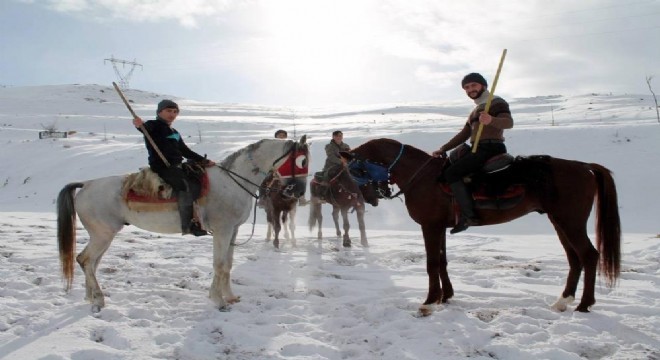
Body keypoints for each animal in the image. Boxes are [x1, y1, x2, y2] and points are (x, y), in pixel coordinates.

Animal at [56, 136, 310, 310]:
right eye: (302, 160)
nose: (298, 191)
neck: (232, 180)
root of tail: (86, 185)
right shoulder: (223, 231)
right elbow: (219, 265)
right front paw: (218, 300)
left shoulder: (233, 231)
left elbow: (227, 265)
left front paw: (229, 296)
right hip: (103, 235)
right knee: (85, 260)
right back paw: (98, 299)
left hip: (103, 236)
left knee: (90, 262)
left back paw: (90, 297)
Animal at [348, 138, 620, 316]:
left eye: (358, 170)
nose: (370, 198)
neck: (422, 177)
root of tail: (583, 166)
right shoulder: (440, 227)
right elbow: (442, 261)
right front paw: (446, 296)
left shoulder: (430, 226)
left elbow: (432, 263)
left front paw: (429, 302)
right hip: (559, 222)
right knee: (574, 259)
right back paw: (563, 301)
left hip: (570, 222)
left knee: (589, 255)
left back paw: (584, 304)